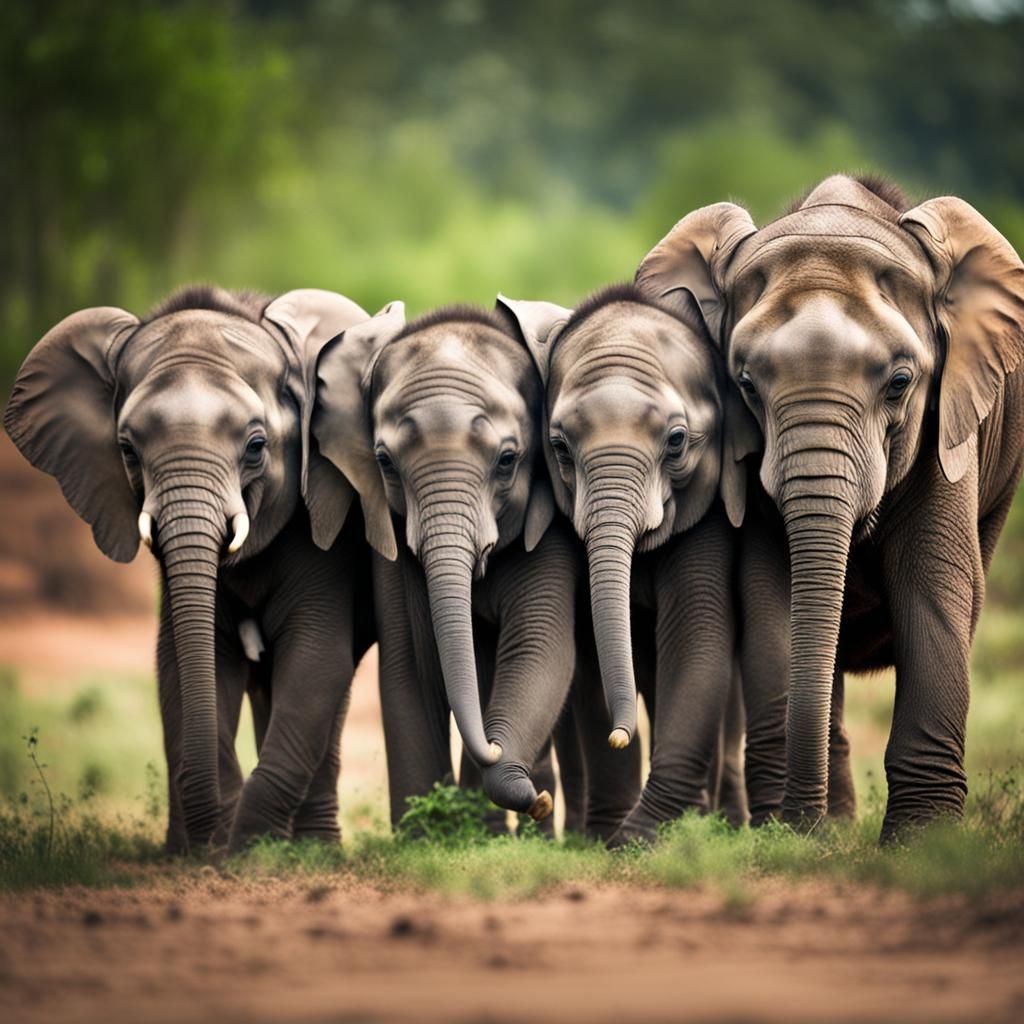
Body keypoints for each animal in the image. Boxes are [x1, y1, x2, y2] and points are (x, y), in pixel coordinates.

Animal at [4, 285, 377, 854]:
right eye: (127, 449)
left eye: (256, 446)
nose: (213, 843)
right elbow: (184, 663)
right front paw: (210, 844)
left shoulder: (324, 536)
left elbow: (316, 658)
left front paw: (249, 845)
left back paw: (314, 849)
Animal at [309, 302, 585, 825]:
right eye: (385, 463)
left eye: (507, 460)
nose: (539, 802)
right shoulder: (393, 544)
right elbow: (412, 667)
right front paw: (427, 834)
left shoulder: (549, 527)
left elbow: (539, 648)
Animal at [498, 284, 746, 845]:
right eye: (560, 447)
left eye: (676, 441)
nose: (620, 733)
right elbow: (589, 658)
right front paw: (609, 837)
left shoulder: (710, 511)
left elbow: (695, 635)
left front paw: (636, 838)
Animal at [636, 173, 1024, 839]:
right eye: (745, 384)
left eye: (900, 383)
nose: (800, 825)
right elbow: (772, 592)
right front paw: (795, 832)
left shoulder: (947, 428)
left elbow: (935, 586)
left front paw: (921, 844)